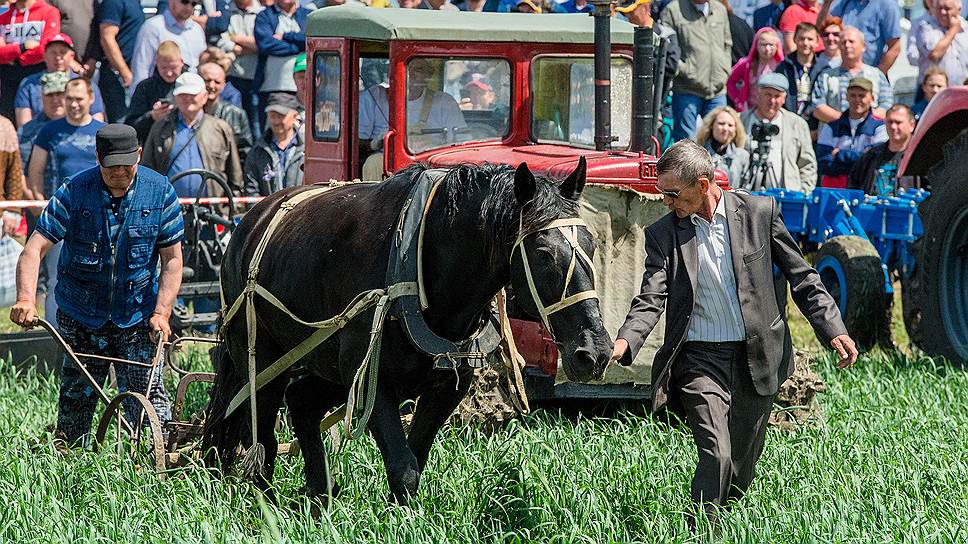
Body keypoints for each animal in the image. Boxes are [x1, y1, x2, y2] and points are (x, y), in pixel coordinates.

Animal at [202, 159, 612, 504]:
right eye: (543, 253)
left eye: (591, 243)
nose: (594, 352)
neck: (422, 260)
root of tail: (248, 223)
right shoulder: (373, 382)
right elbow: (404, 468)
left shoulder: (446, 388)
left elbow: (415, 458)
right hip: (262, 360)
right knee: (261, 439)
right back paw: (266, 502)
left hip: (329, 367)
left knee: (301, 402)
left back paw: (320, 495)